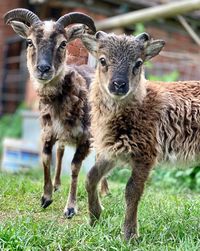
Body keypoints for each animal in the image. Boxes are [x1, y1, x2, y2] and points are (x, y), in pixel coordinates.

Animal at [3, 8, 109, 219]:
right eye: (29, 42)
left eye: (63, 43)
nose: (43, 69)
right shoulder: (48, 132)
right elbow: (46, 158)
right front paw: (46, 197)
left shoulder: (85, 137)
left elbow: (75, 167)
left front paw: (70, 208)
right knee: (60, 151)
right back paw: (58, 184)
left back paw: (104, 191)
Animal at [76, 28, 200, 239]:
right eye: (102, 60)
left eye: (138, 63)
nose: (119, 84)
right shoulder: (113, 150)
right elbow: (91, 177)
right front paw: (94, 218)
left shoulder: (145, 154)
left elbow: (132, 191)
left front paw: (130, 234)